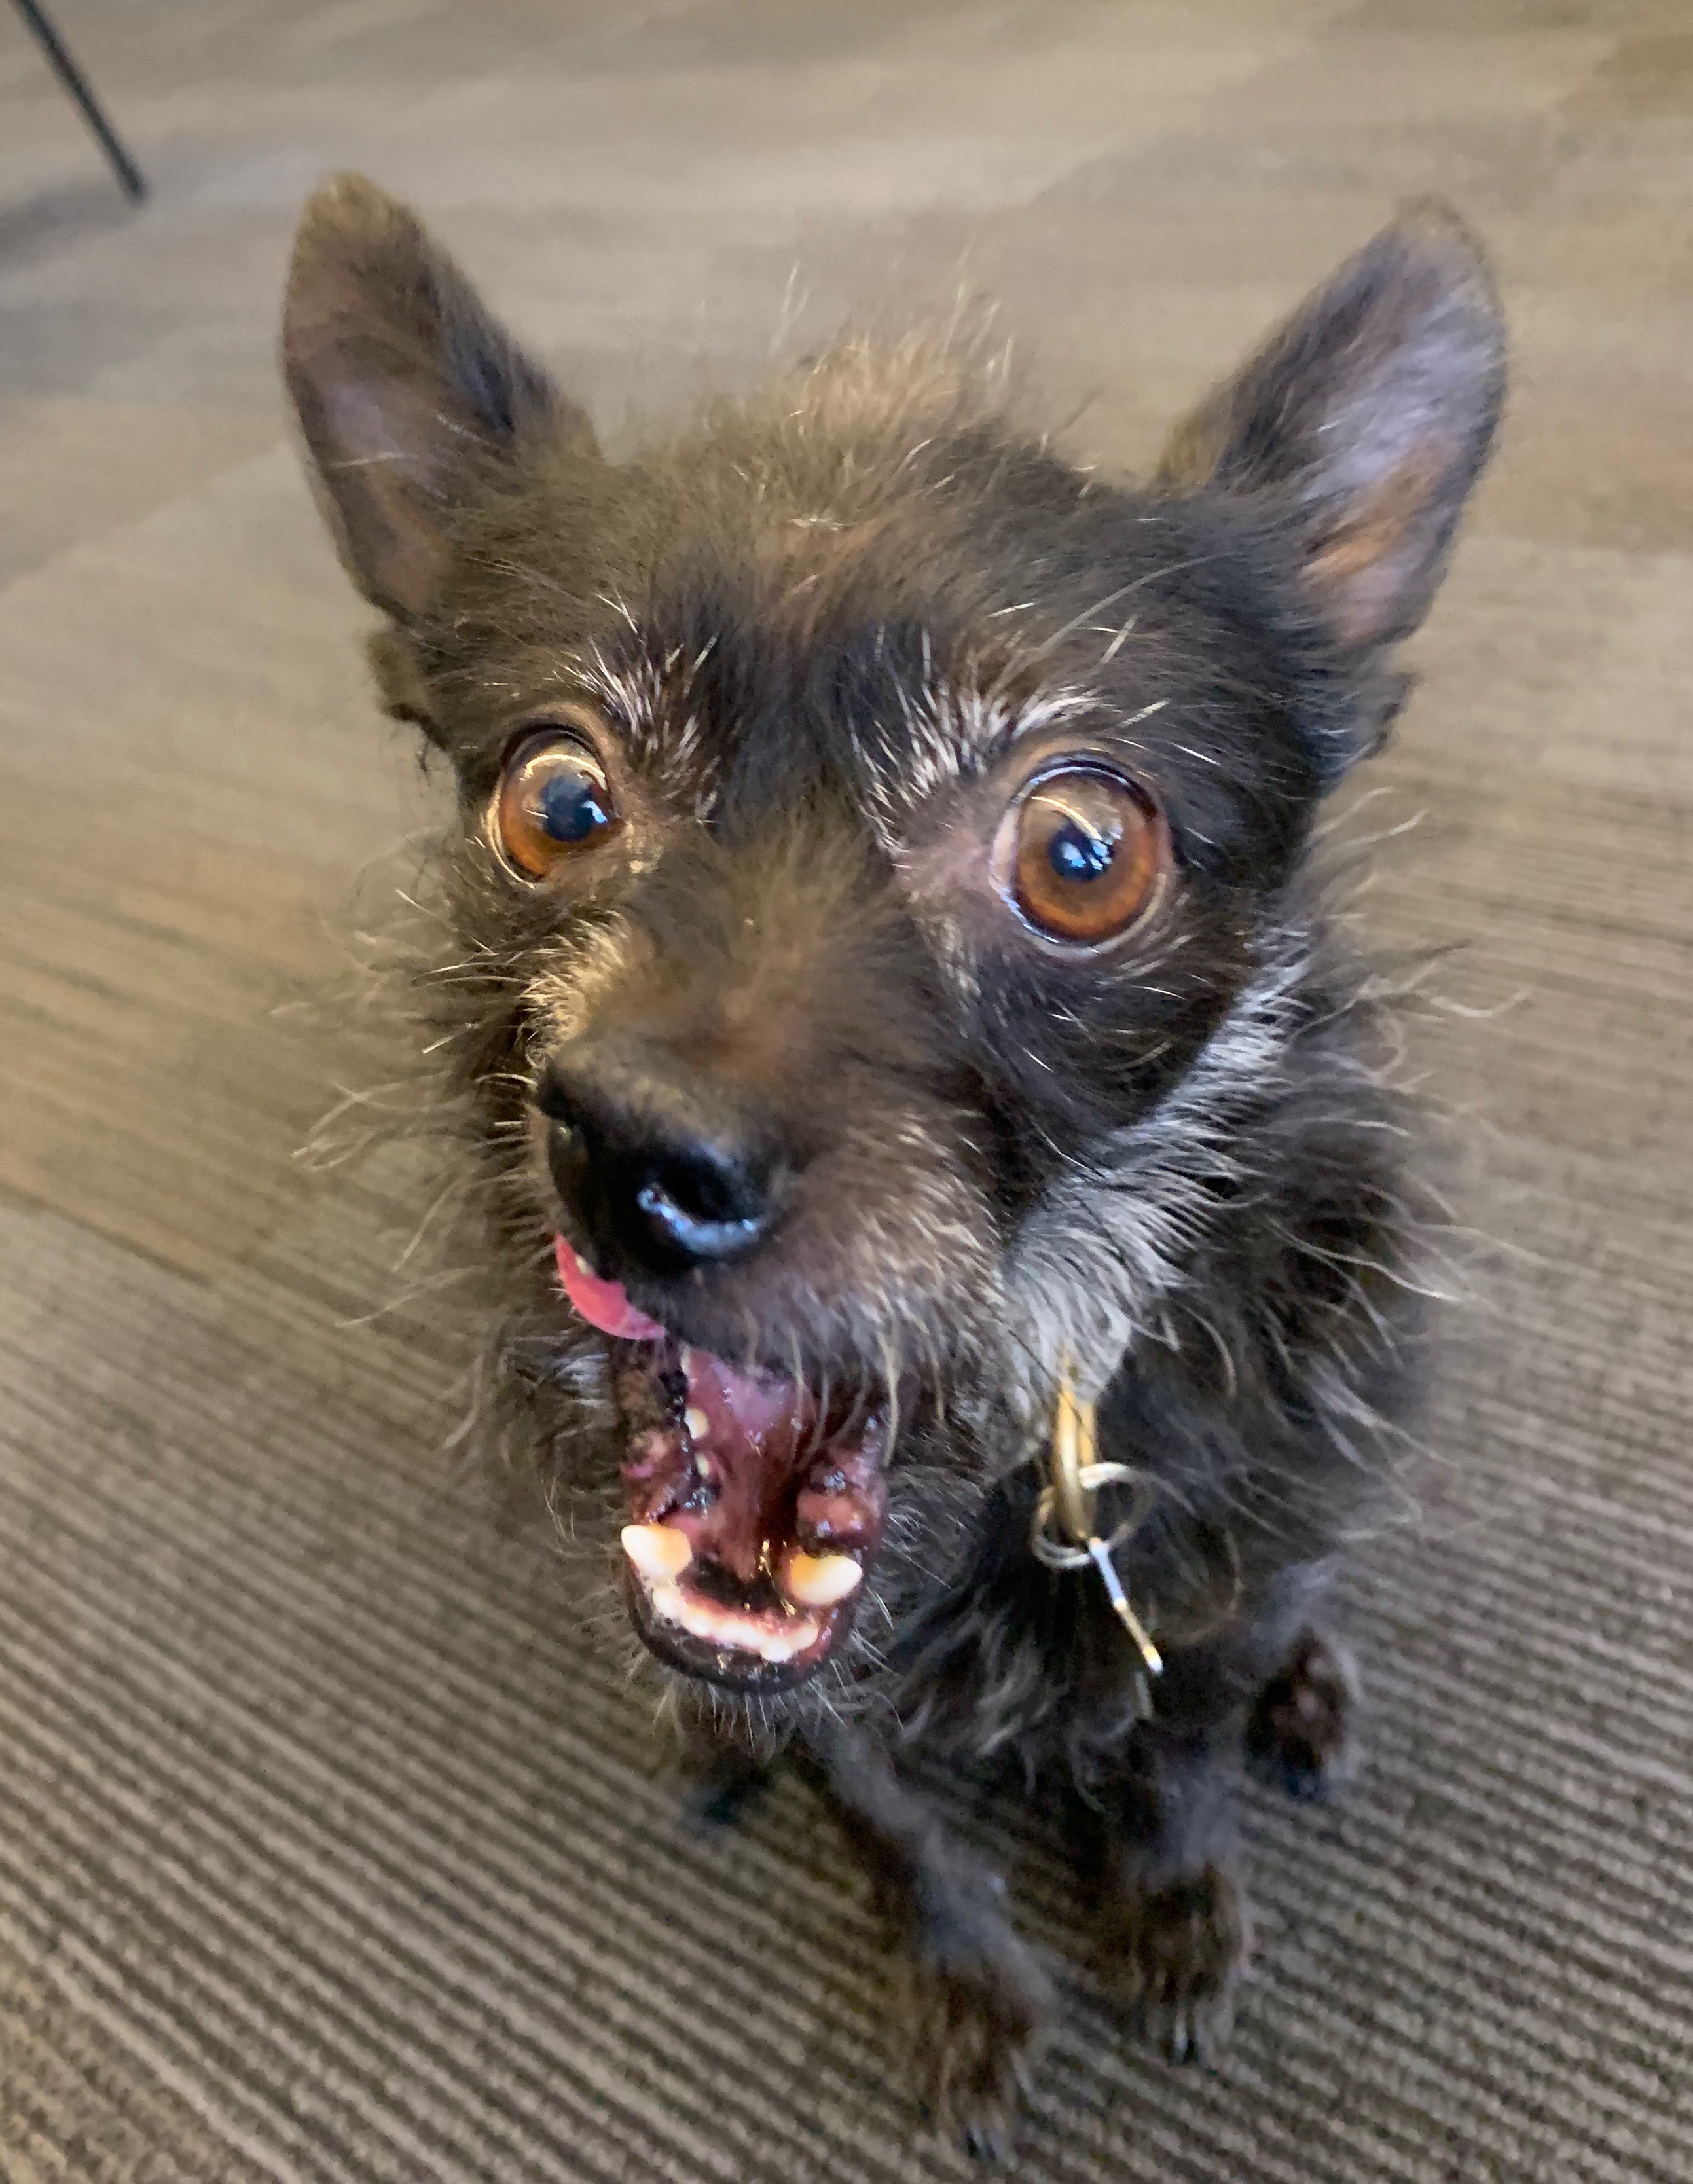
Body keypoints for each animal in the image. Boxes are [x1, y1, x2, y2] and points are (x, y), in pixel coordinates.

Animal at [283, 179, 1502, 2157]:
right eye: (556, 801)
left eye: (1082, 852)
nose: (640, 1157)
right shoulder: (814, 1694)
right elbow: (884, 1815)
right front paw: (962, 1986)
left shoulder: (1223, 1555)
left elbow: (1177, 1748)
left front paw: (1170, 1902)